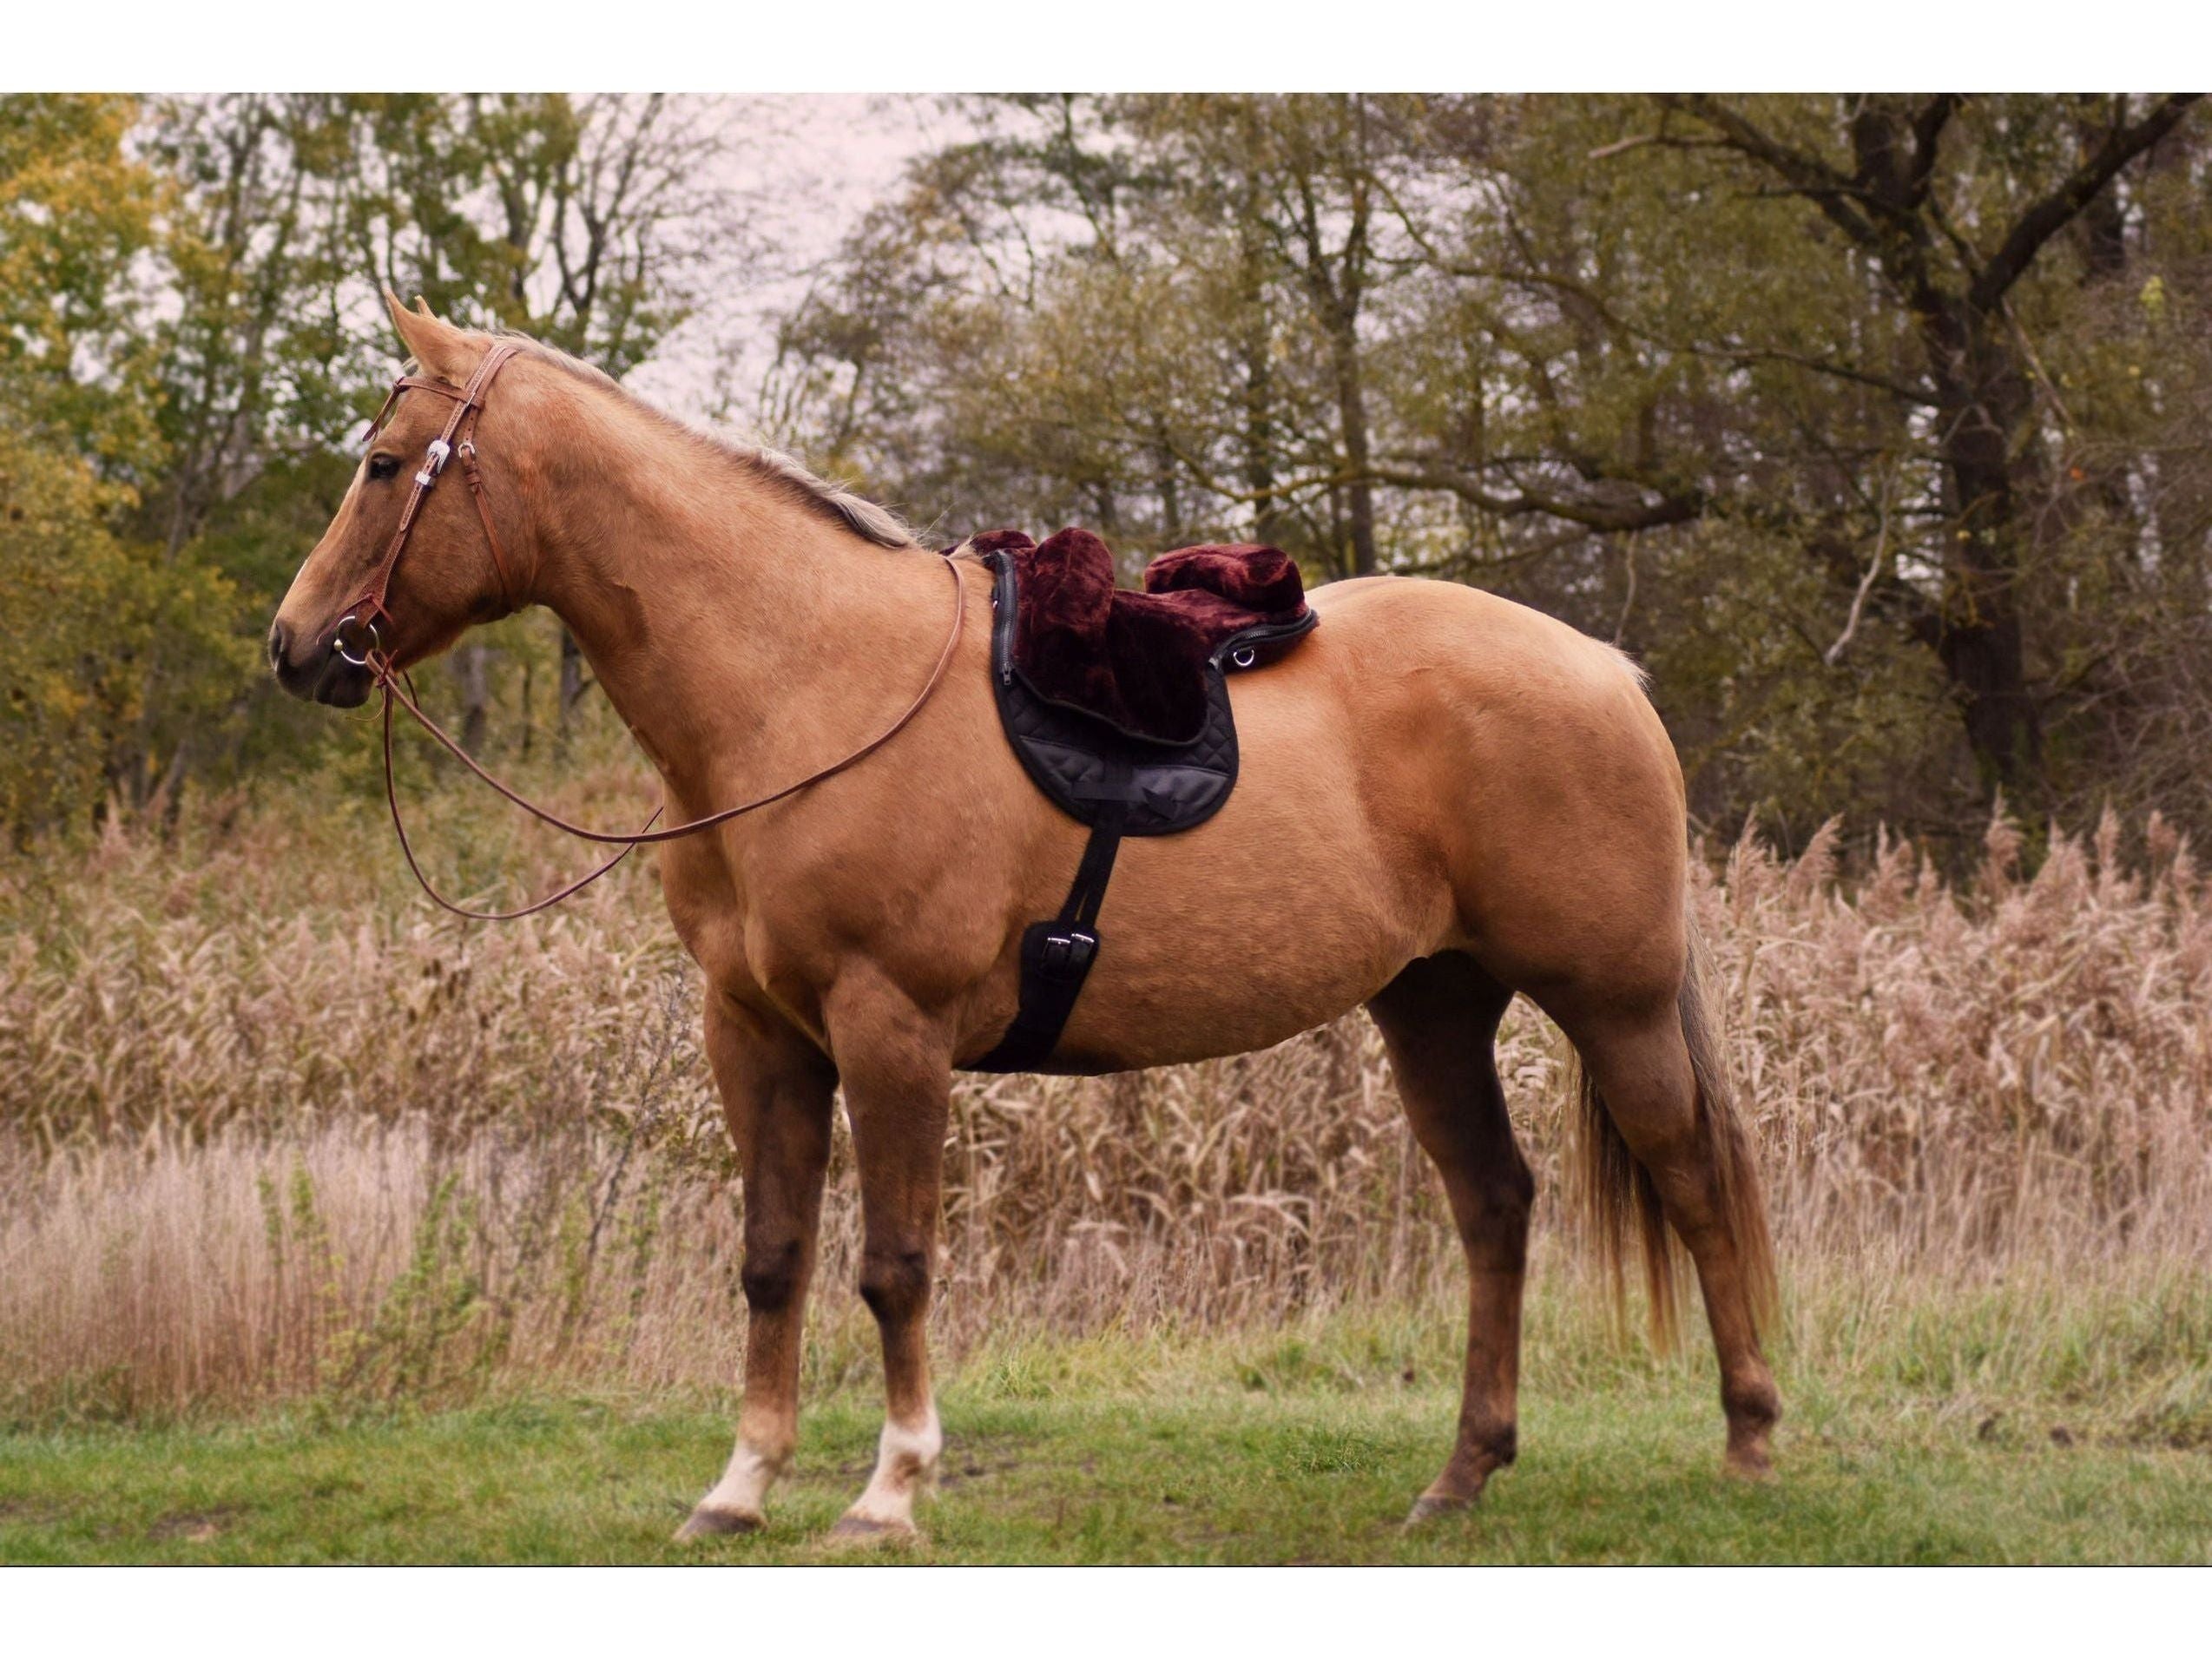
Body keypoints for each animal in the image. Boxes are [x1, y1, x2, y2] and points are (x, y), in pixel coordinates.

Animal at [267, 296, 1778, 1548]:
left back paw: (1751, 1444)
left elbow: (893, 1264)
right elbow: (771, 1259)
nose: (295, 646)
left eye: (386, 464)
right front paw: (740, 1486)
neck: (801, 681)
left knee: (1697, 1181)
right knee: (1495, 1205)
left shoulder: (892, 1029)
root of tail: (1603, 667)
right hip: (1437, 1000)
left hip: (1613, 1000)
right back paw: (1461, 1474)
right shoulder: (756, 1034)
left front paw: (888, 1492)